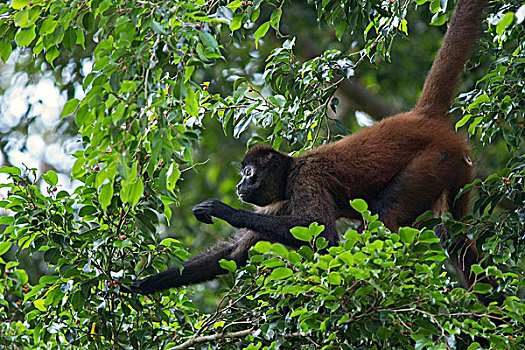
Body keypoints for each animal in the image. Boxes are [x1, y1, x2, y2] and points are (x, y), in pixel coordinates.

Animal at [132, 0, 488, 296]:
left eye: (249, 173)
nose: (239, 186)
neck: (291, 167)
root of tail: (421, 117)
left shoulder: (306, 176)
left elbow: (326, 236)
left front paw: (224, 211)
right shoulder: (283, 199)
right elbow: (233, 253)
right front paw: (136, 285)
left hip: (434, 161)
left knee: (384, 215)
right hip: (458, 169)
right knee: (452, 236)